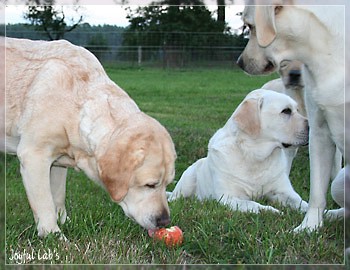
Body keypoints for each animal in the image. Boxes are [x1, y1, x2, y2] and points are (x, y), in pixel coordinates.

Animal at [6, 37, 178, 236]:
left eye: (168, 184)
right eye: (150, 185)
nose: (164, 221)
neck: (76, 103)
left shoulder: (57, 163)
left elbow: (58, 196)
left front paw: (64, 221)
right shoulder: (34, 155)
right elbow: (45, 203)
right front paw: (53, 234)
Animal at [168, 89, 308, 213]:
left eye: (297, 110)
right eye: (286, 111)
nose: (311, 126)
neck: (254, 156)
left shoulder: (284, 192)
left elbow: (303, 203)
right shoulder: (228, 198)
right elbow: (253, 204)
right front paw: (271, 210)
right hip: (186, 181)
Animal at [237, 2, 346, 231]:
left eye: (250, 25)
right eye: (285, 64)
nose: (240, 62)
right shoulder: (318, 132)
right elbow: (316, 192)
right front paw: (308, 228)